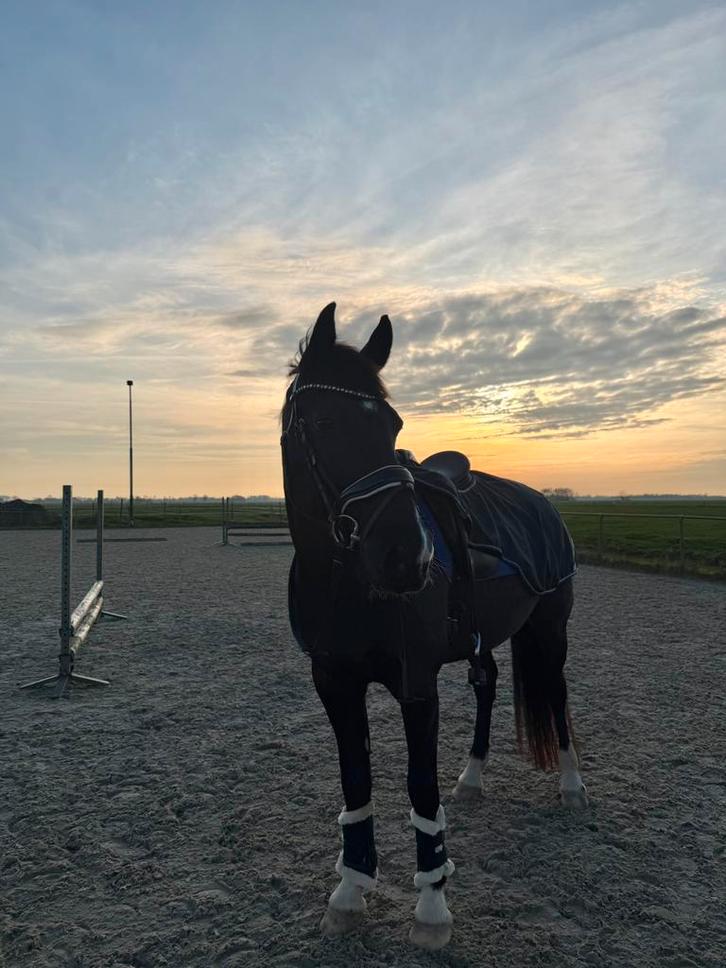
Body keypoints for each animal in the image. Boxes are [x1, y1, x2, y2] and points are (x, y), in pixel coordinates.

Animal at [280, 302, 588, 950]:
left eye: (393, 426)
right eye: (322, 421)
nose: (408, 558)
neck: (345, 582)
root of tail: (544, 503)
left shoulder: (416, 684)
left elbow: (419, 783)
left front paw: (432, 908)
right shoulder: (334, 683)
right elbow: (356, 781)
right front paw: (349, 892)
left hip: (551, 631)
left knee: (555, 693)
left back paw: (572, 787)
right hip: (485, 638)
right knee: (489, 685)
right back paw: (471, 778)